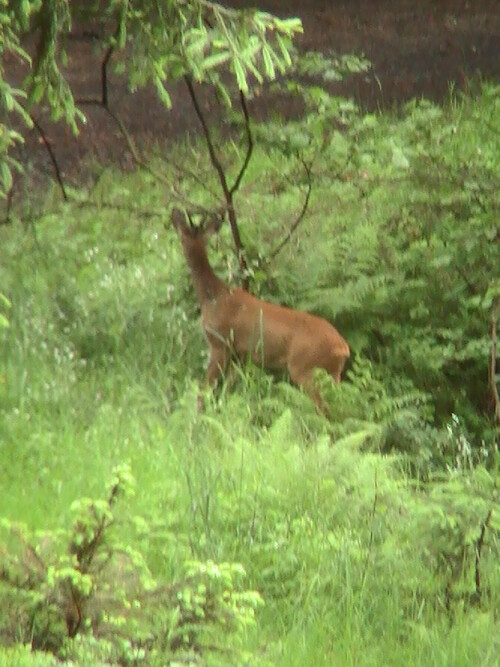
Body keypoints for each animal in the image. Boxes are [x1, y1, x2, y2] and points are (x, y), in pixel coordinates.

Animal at [170, 206, 350, 410]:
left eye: (182, 236)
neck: (214, 296)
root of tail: (342, 347)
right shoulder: (240, 354)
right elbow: (227, 390)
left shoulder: (220, 343)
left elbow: (205, 389)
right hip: (332, 373)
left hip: (305, 368)